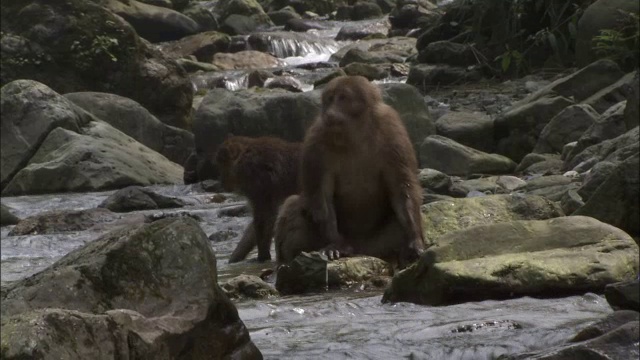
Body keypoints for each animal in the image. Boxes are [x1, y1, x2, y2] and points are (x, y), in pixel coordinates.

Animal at [272, 75, 424, 268]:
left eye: (343, 98)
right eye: (330, 99)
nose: (329, 112)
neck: (354, 133)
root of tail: (360, 248)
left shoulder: (392, 132)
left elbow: (401, 187)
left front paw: (414, 240)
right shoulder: (317, 140)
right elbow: (321, 194)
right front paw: (336, 245)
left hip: (376, 245)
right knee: (293, 204)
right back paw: (287, 261)